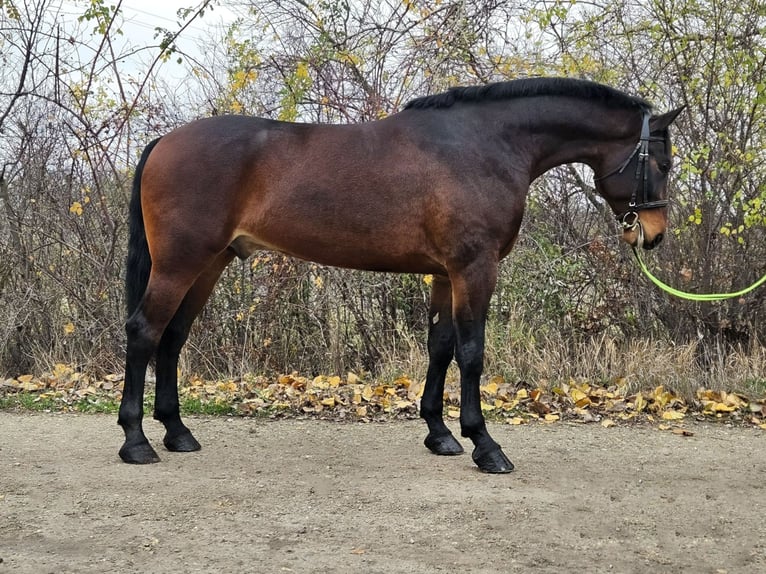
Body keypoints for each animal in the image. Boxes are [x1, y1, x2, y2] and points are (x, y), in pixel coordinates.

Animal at [118, 77, 683, 473]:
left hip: (208, 264)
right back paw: (136, 441)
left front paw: (440, 434)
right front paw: (485, 445)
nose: (653, 234)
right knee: (145, 331)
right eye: (661, 162)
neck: (482, 145)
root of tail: (165, 141)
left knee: (172, 337)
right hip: (181, 262)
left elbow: (440, 346)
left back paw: (177, 432)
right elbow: (472, 353)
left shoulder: (445, 274)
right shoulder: (475, 268)